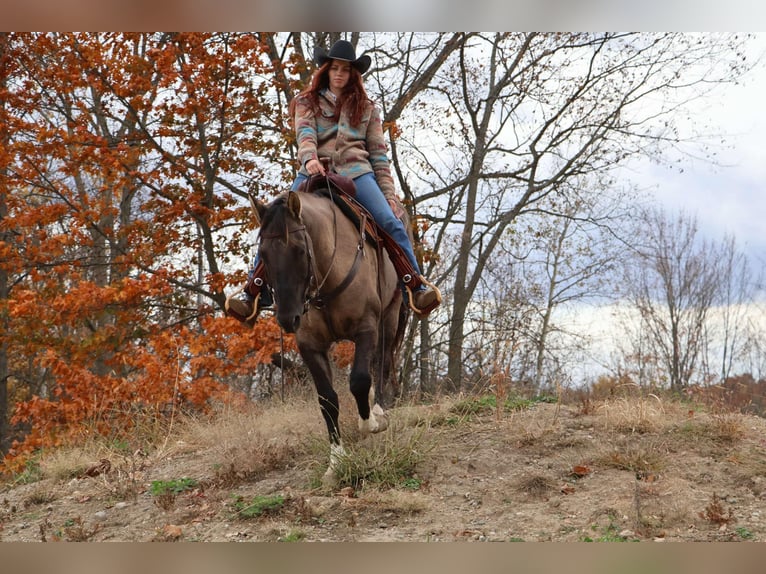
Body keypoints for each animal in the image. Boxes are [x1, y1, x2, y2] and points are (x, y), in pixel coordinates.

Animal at [252, 188, 409, 485]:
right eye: (263, 255)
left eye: (300, 250)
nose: (288, 318)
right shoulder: (310, 345)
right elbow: (327, 399)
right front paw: (335, 463)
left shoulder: (366, 328)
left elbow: (359, 381)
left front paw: (369, 423)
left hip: (390, 316)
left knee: (382, 363)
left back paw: (378, 411)